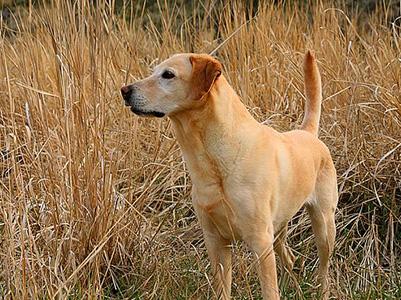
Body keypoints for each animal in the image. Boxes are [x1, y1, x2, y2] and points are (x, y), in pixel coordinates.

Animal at [120, 50, 336, 298]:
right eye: (153, 71)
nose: (125, 90)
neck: (215, 163)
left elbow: (270, 291)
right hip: (279, 228)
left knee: (324, 269)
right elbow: (222, 290)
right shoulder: (216, 242)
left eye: (168, 75)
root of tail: (308, 133)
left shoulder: (260, 242)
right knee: (290, 259)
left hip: (324, 226)